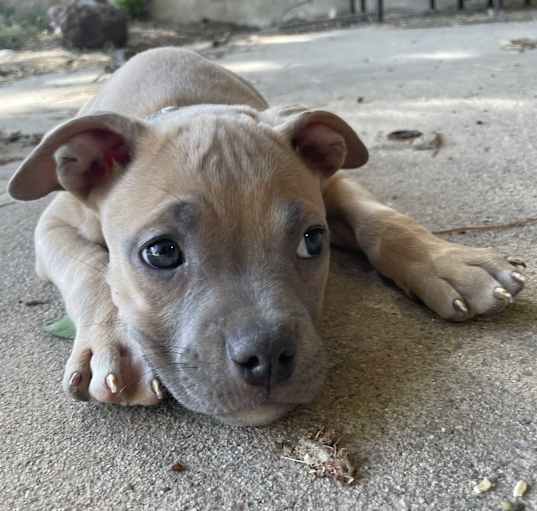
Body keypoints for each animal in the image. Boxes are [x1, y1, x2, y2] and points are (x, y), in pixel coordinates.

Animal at [7, 49, 524, 424]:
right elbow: (92, 270)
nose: (268, 356)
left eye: (312, 241)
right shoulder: (53, 226)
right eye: (160, 253)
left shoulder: (333, 184)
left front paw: (451, 264)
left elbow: (383, 219)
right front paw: (117, 346)